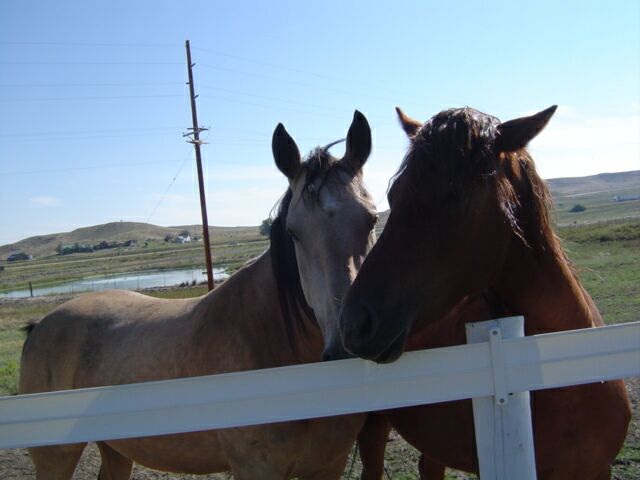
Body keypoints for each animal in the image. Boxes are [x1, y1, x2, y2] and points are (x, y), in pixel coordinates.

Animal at [19, 110, 379, 480]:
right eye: (293, 232)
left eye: (371, 220)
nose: (347, 344)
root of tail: (41, 326)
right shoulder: (256, 468)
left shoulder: (327, 465)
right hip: (56, 457)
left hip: (116, 449)